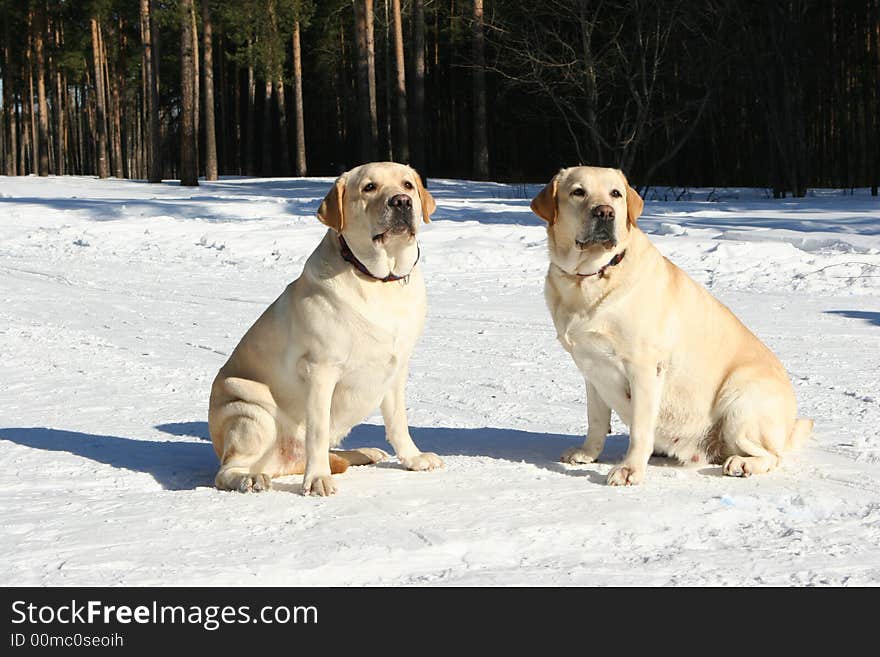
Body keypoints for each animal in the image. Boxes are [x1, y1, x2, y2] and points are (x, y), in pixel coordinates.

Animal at [209, 161, 444, 494]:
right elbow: (317, 432)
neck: (378, 281)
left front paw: (413, 458)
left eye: (408, 185)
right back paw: (251, 478)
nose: (401, 202)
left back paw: (365, 452)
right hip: (249, 410)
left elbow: (398, 420)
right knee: (227, 470)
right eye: (369, 187)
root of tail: (283, 463)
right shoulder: (321, 370)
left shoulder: (396, 368)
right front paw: (318, 478)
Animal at [528, 165, 812, 482]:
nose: (605, 213)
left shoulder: (643, 367)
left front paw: (629, 469)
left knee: (772, 454)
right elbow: (596, 419)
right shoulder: (592, 369)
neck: (589, 278)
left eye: (616, 193)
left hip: (739, 398)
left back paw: (743, 463)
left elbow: (640, 429)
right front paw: (588, 453)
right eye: (578, 192)